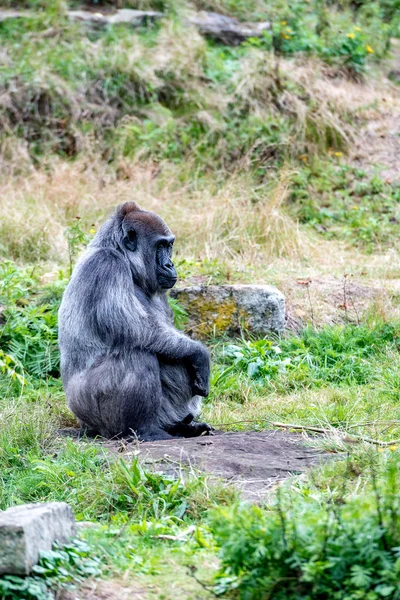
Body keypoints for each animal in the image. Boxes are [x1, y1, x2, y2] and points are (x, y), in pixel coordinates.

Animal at [57, 202, 212, 440]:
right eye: (160, 246)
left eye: (170, 245)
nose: (170, 264)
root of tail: (84, 425)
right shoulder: (107, 265)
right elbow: (137, 329)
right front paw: (199, 354)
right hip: (90, 414)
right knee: (137, 354)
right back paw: (144, 429)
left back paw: (179, 426)